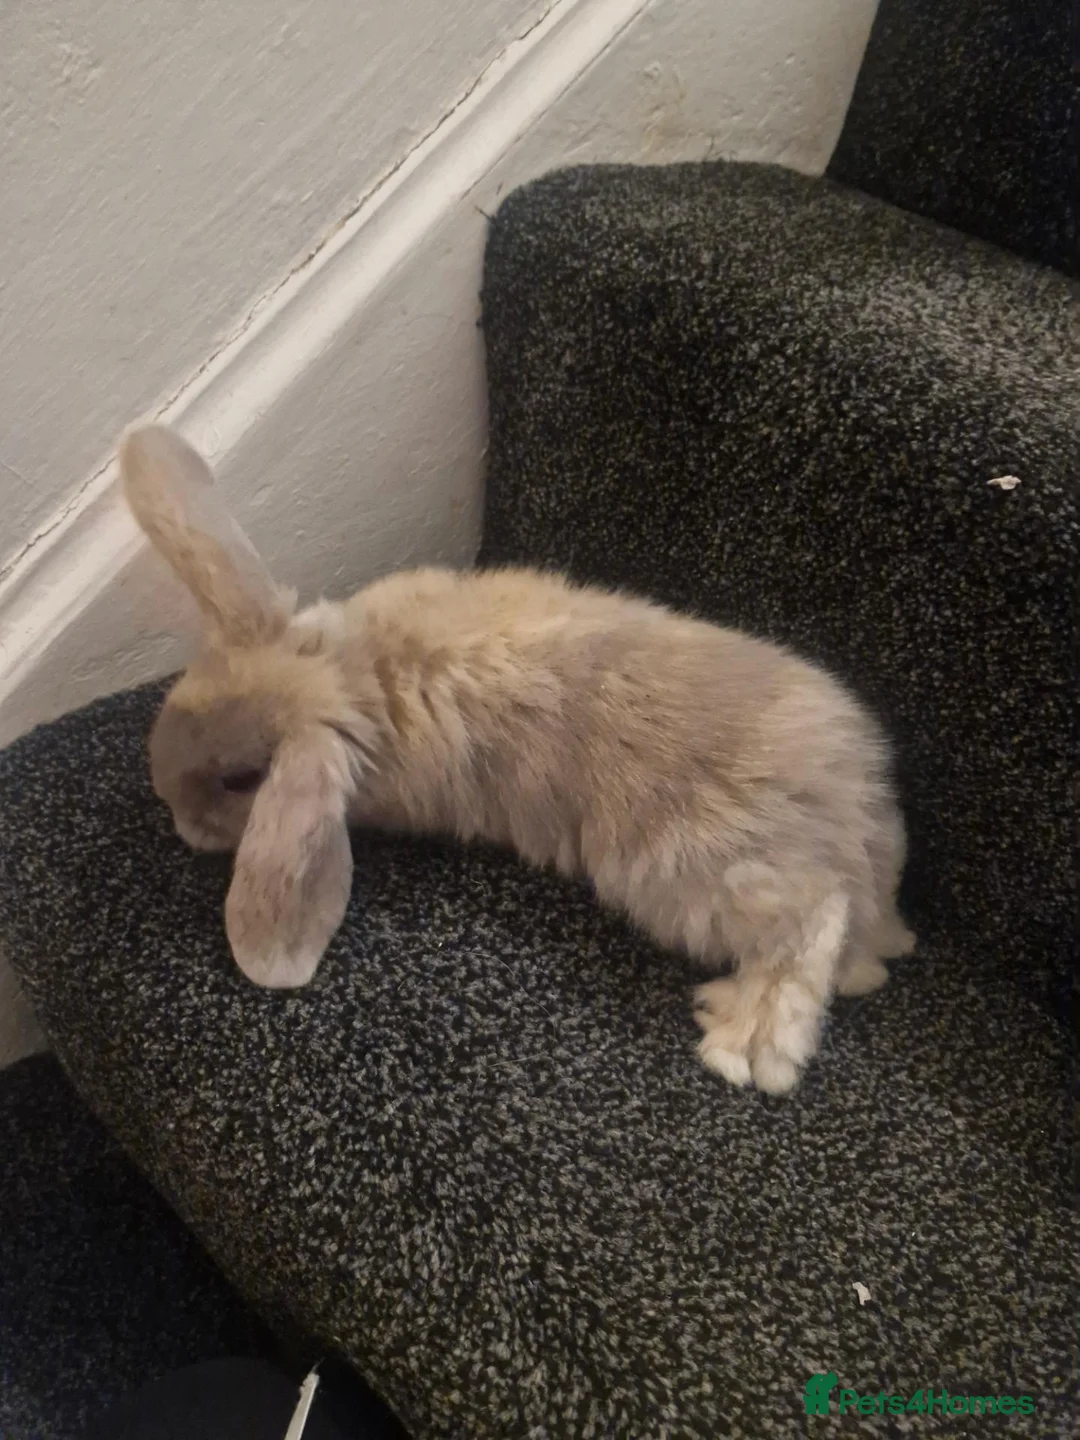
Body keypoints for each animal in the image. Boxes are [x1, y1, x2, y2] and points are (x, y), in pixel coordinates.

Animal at [120, 423, 915, 1094]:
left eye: (241, 780)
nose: (173, 812)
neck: (351, 674)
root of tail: (853, 818)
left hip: (702, 871)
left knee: (811, 920)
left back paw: (744, 1041)